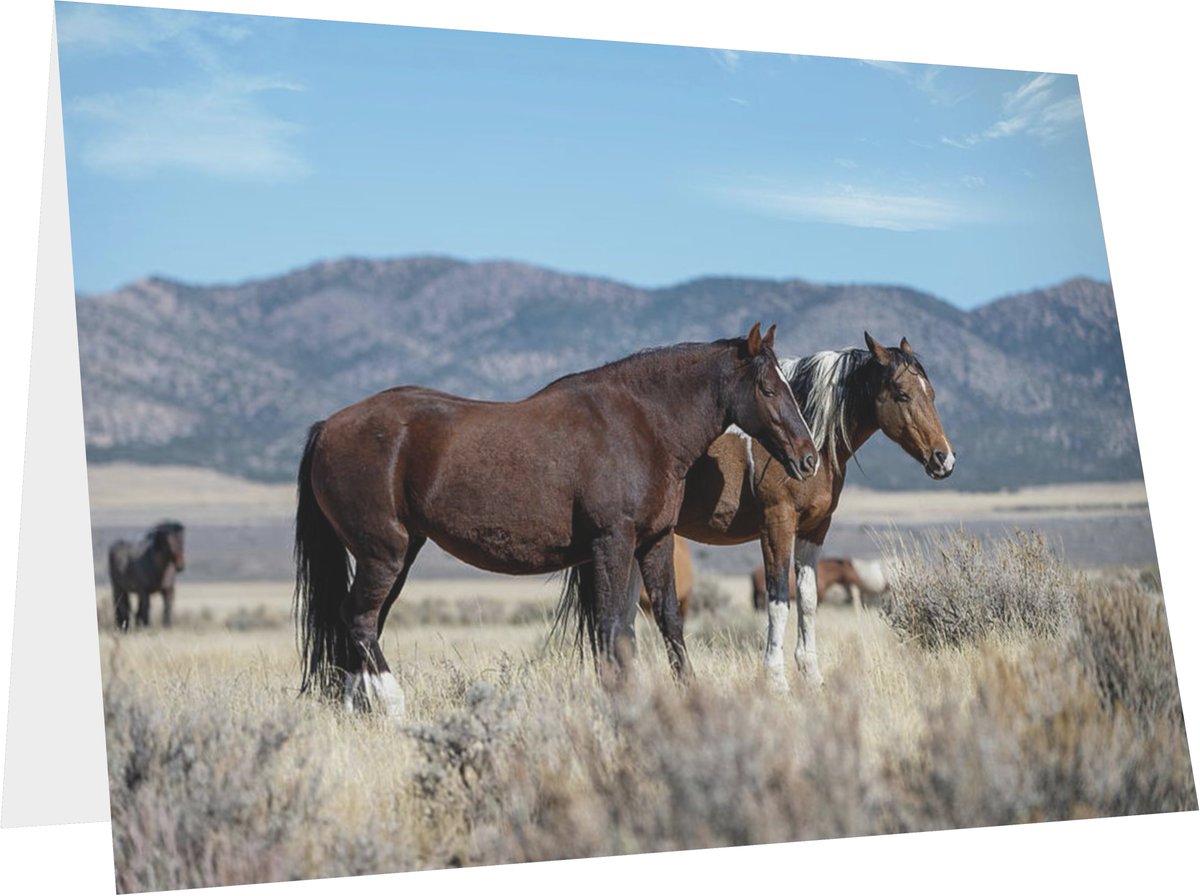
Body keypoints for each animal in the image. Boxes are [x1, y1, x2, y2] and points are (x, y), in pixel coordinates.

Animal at [294, 324, 818, 717]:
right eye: (768, 388)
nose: (809, 458)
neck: (641, 424)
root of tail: (328, 427)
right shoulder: (612, 542)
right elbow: (610, 625)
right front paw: (618, 699)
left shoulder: (655, 542)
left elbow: (668, 621)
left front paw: (687, 692)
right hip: (384, 553)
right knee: (360, 619)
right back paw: (392, 703)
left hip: (398, 556)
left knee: (359, 623)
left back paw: (357, 708)